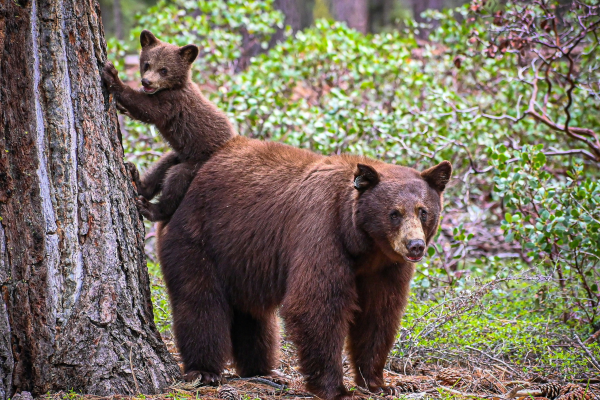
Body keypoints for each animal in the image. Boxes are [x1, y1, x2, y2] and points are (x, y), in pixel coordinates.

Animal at [159, 136, 450, 398]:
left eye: (423, 211)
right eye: (394, 213)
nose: (415, 245)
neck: (363, 245)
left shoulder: (386, 267)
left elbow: (378, 315)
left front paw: (379, 383)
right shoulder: (321, 231)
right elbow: (316, 304)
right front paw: (334, 388)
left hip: (242, 259)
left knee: (253, 315)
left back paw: (262, 370)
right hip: (198, 239)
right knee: (201, 302)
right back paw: (205, 371)